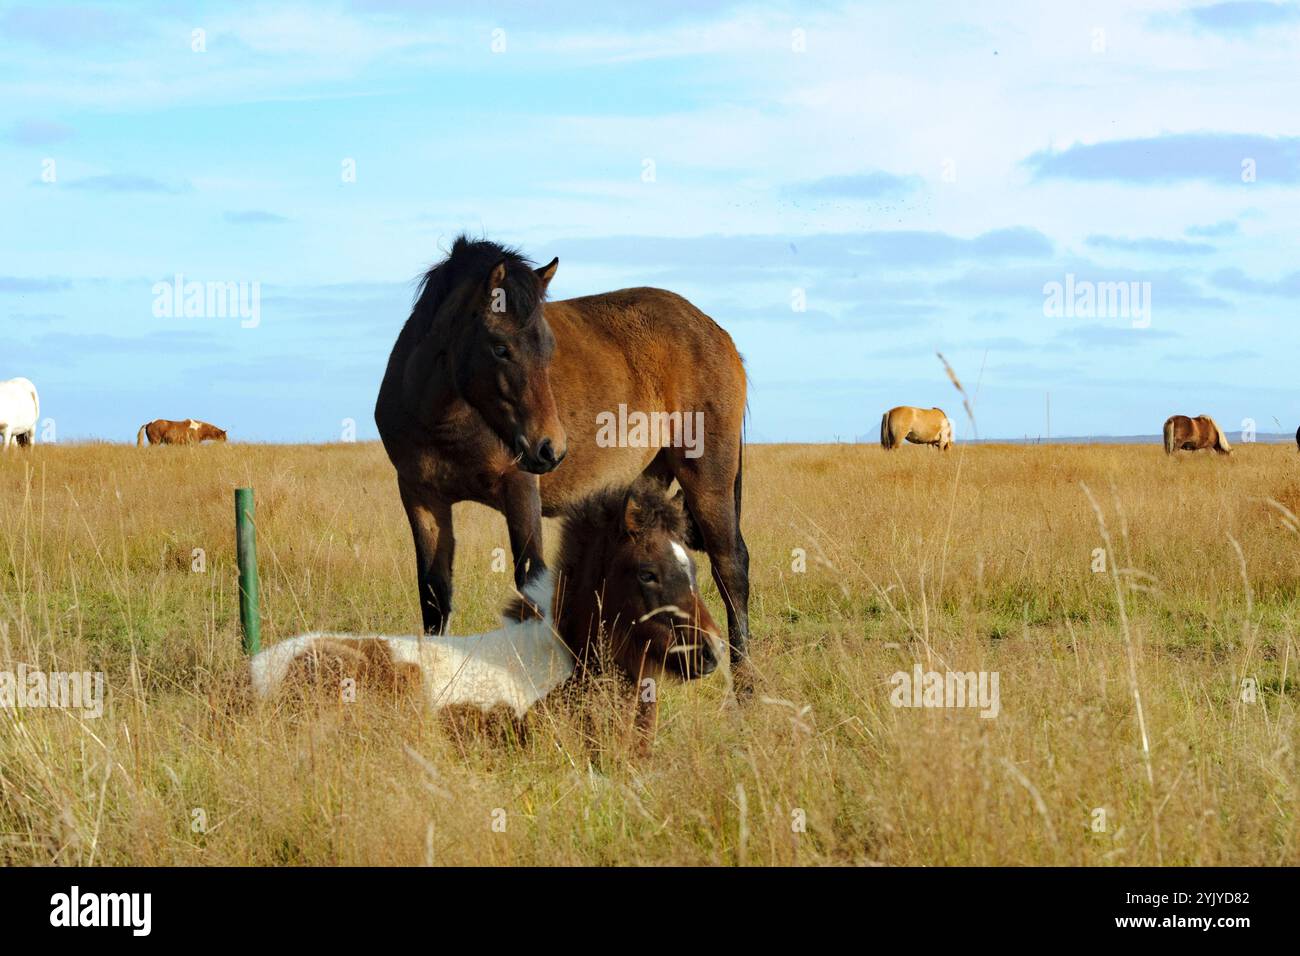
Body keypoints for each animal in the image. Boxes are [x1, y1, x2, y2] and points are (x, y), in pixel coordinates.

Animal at [371, 238, 754, 671]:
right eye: (500, 347)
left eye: (549, 347)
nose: (549, 447)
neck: (444, 421)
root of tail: (717, 332)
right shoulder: (421, 497)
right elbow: (435, 594)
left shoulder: (520, 491)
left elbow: (530, 585)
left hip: (707, 480)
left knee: (730, 567)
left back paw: (744, 679)